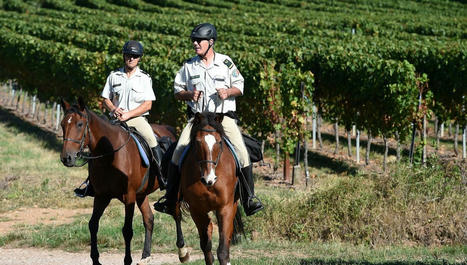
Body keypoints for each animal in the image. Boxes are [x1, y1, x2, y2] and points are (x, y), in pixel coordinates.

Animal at [58, 98, 176, 264]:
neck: (110, 155)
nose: (66, 158)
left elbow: (127, 230)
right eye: (63, 124)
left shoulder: (129, 197)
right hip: (141, 195)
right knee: (149, 219)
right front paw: (95, 259)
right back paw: (145, 255)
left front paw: (127, 260)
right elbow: (93, 224)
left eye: (80, 124)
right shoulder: (101, 196)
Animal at [176, 111, 241, 264]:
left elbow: (223, 250)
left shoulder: (226, 207)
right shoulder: (197, 210)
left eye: (219, 142)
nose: (208, 178)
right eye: (198, 142)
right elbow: (206, 247)